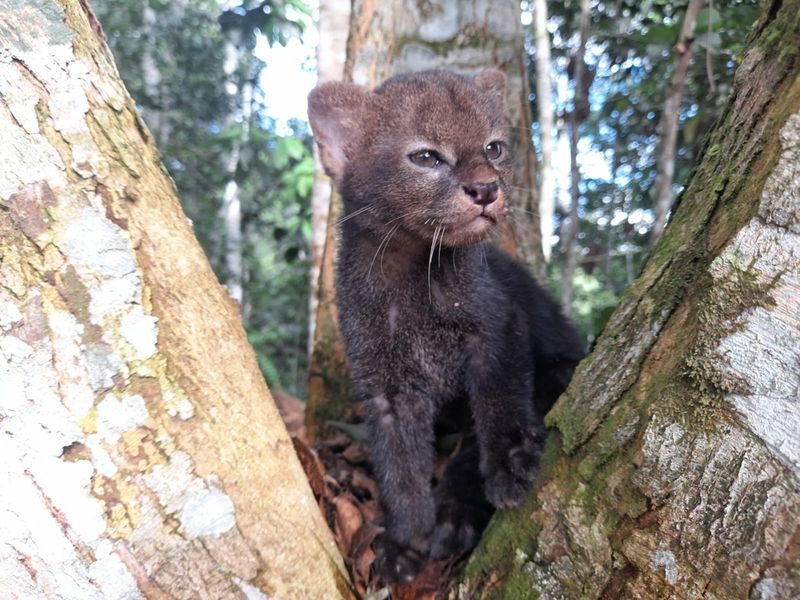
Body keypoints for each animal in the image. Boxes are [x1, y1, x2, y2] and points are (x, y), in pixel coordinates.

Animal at [310, 69, 584, 580]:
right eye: (425, 157)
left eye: (494, 148)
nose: (486, 189)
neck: (412, 277)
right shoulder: (386, 386)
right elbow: (399, 467)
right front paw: (406, 541)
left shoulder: (497, 329)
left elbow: (500, 404)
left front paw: (510, 464)